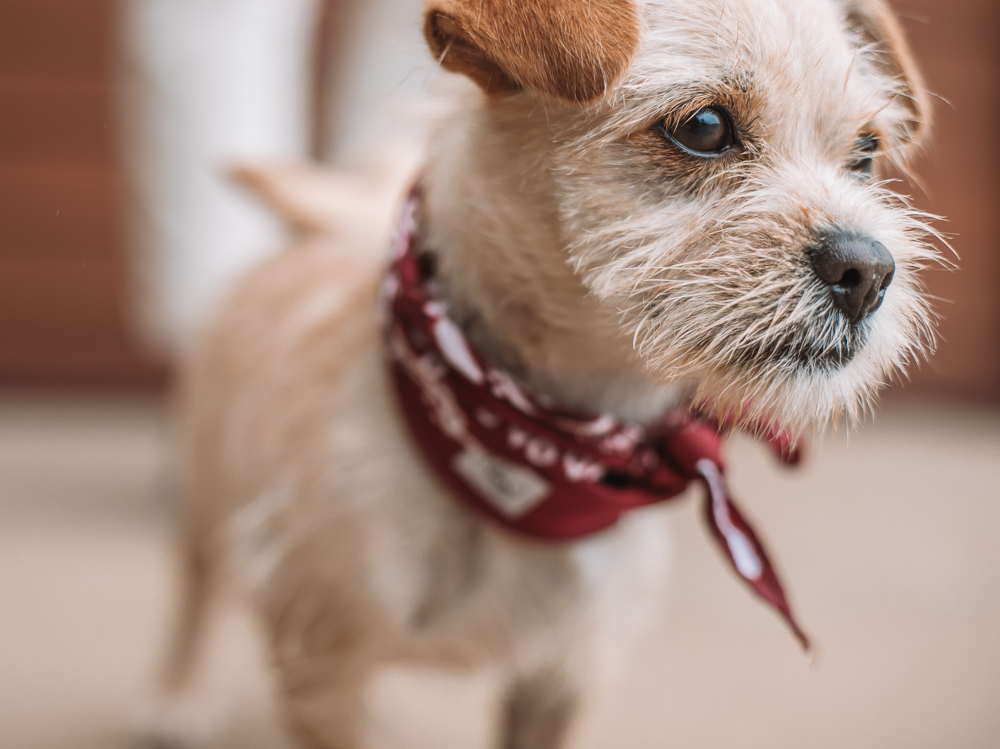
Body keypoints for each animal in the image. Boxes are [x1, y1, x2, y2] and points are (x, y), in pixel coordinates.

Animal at [156, 2, 936, 744]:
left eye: (866, 151)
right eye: (705, 126)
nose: (870, 273)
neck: (548, 449)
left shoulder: (565, 675)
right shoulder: (325, 667)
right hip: (207, 497)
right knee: (194, 591)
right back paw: (178, 699)